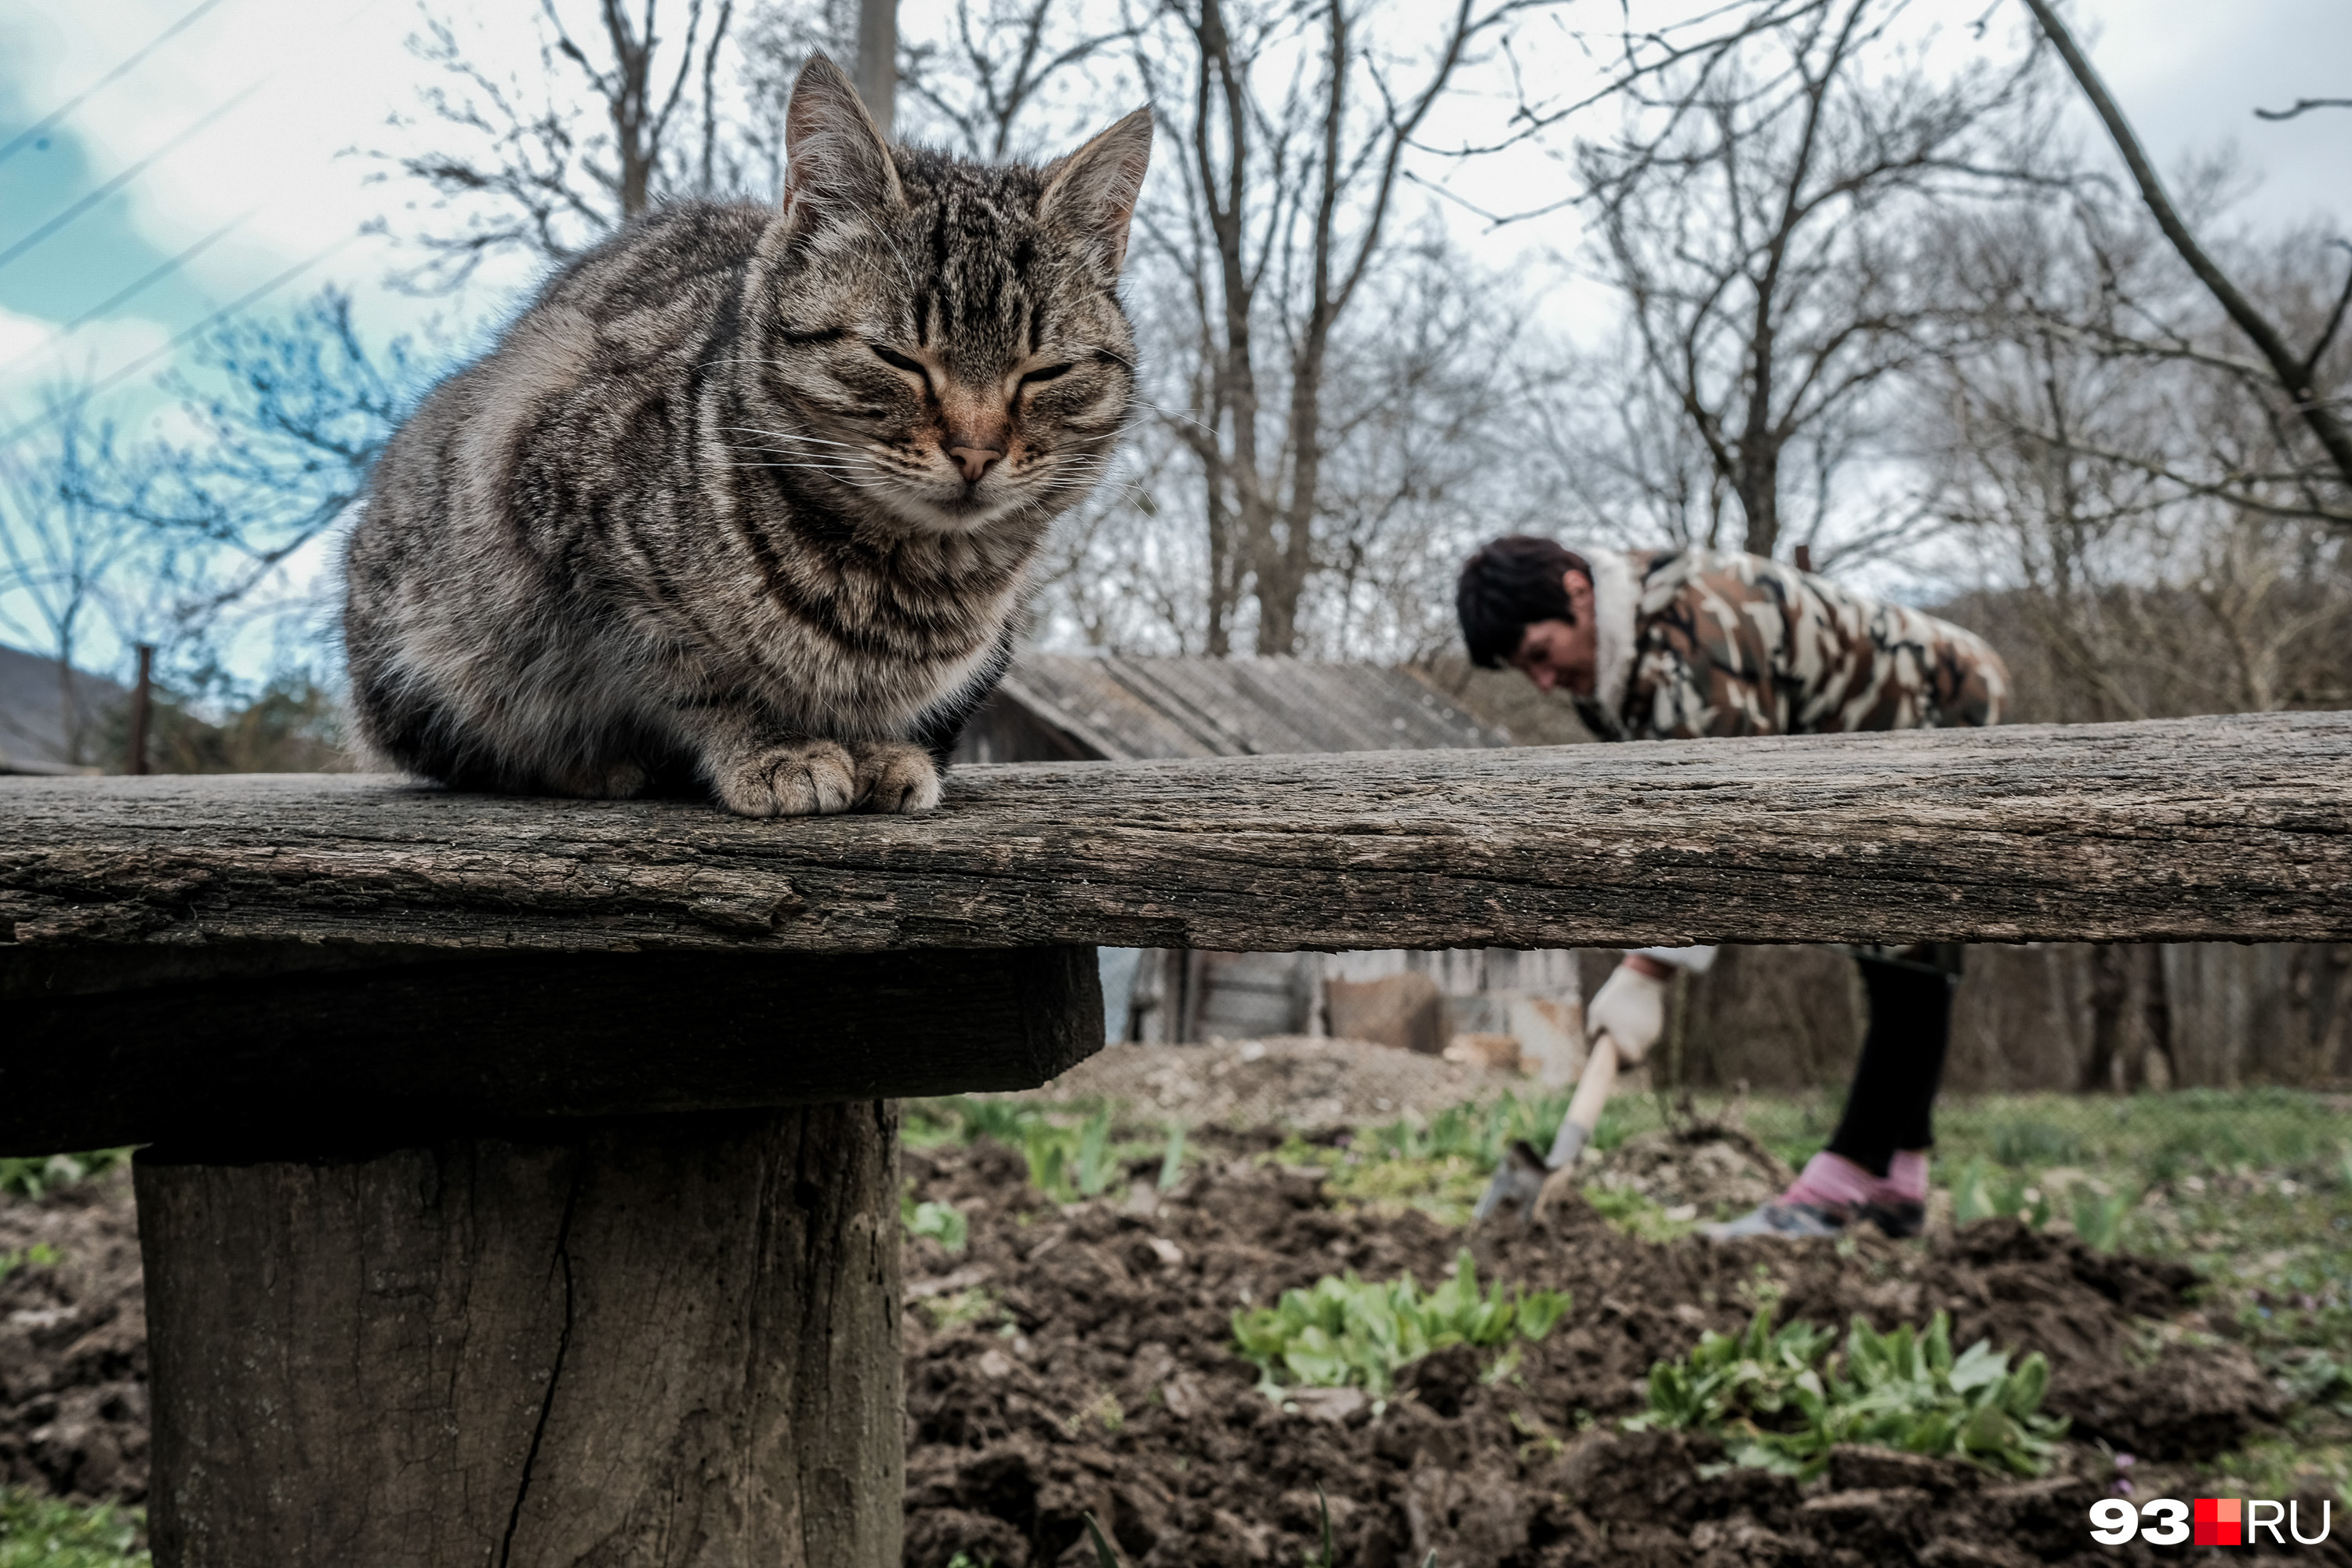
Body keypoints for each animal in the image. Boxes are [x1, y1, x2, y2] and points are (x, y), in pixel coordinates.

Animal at [343, 55, 1152, 818]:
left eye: (1044, 372)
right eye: (896, 358)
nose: (977, 451)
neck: (910, 585)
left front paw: (882, 751)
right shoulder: (582, 539)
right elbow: (699, 676)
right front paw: (775, 748)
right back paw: (593, 767)